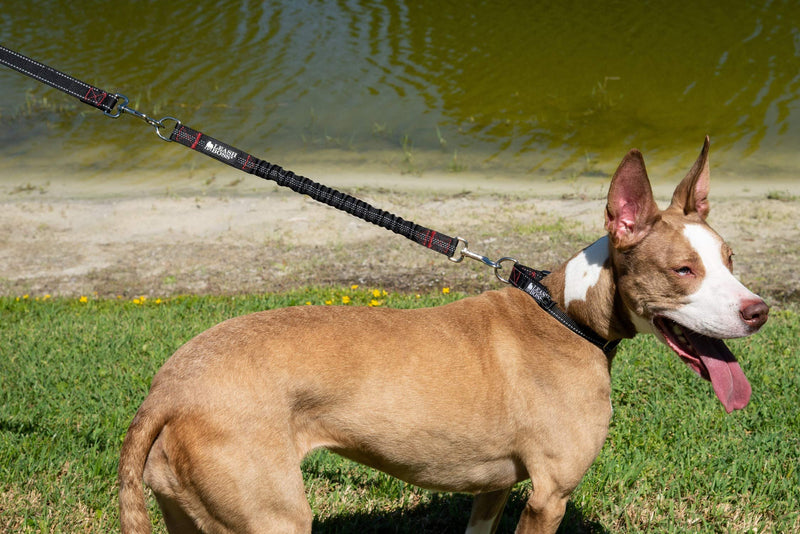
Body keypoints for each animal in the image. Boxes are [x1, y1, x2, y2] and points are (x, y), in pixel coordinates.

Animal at [117, 139, 768, 534]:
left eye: (730, 259)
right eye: (683, 270)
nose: (759, 311)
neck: (567, 315)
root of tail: (166, 390)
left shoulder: (495, 486)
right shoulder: (550, 493)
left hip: (189, 506)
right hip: (273, 517)